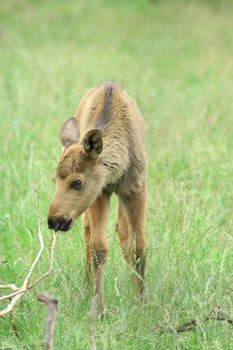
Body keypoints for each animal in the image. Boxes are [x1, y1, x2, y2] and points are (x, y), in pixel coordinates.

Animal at [47, 82, 147, 314]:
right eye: (54, 179)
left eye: (77, 182)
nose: (54, 220)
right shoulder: (101, 192)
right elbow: (99, 247)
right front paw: (99, 308)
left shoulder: (136, 187)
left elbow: (139, 245)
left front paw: (143, 301)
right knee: (88, 234)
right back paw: (85, 288)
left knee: (122, 231)